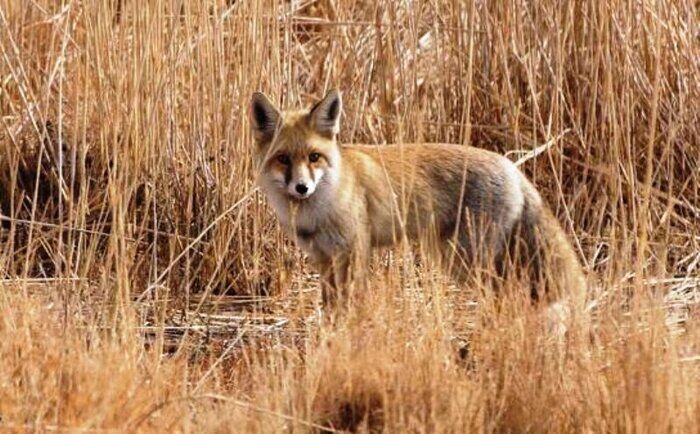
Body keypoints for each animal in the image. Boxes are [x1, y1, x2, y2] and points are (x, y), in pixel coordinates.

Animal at [250, 89, 584, 306]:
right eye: (282, 159)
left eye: (314, 157)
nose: (302, 187)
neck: (318, 210)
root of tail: (512, 167)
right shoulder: (324, 259)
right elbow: (330, 309)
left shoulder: (354, 253)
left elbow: (350, 308)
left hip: (468, 259)